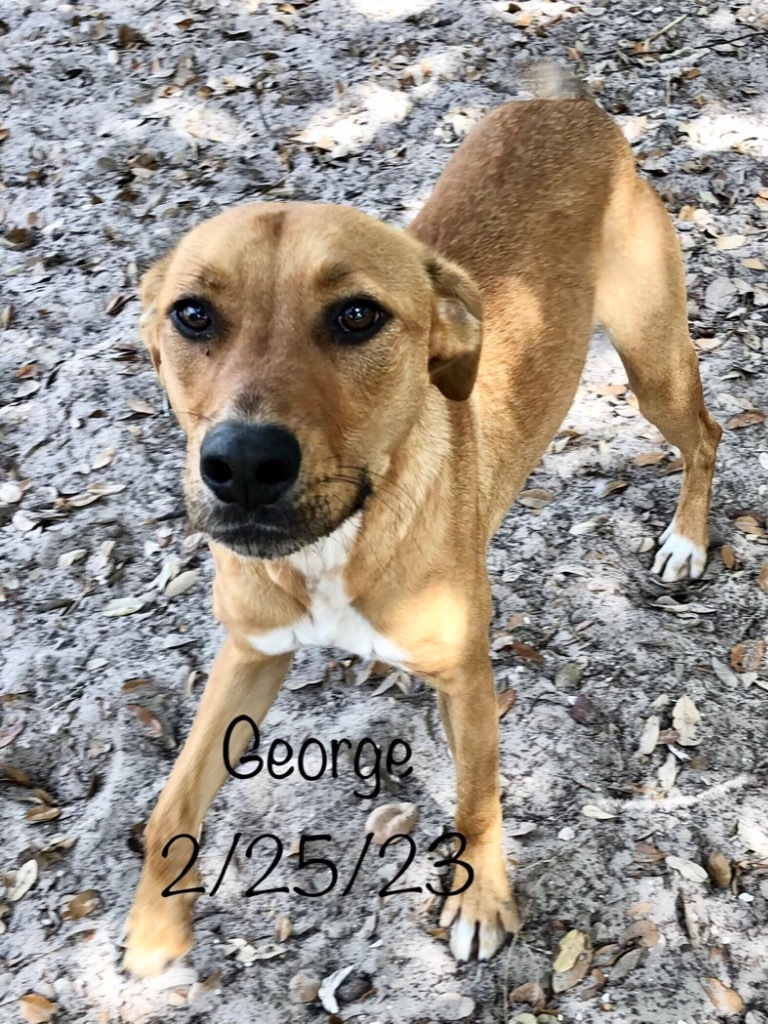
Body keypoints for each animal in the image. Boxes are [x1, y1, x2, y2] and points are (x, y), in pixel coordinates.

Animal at [123, 68, 724, 978]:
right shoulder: (250, 652)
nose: (244, 465)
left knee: (708, 435)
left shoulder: (469, 678)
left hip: (651, 359)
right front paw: (155, 921)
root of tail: (569, 103)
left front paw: (478, 900)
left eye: (357, 316)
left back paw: (687, 538)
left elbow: (478, 798)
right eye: (192, 315)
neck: (339, 543)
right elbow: (170, 800)